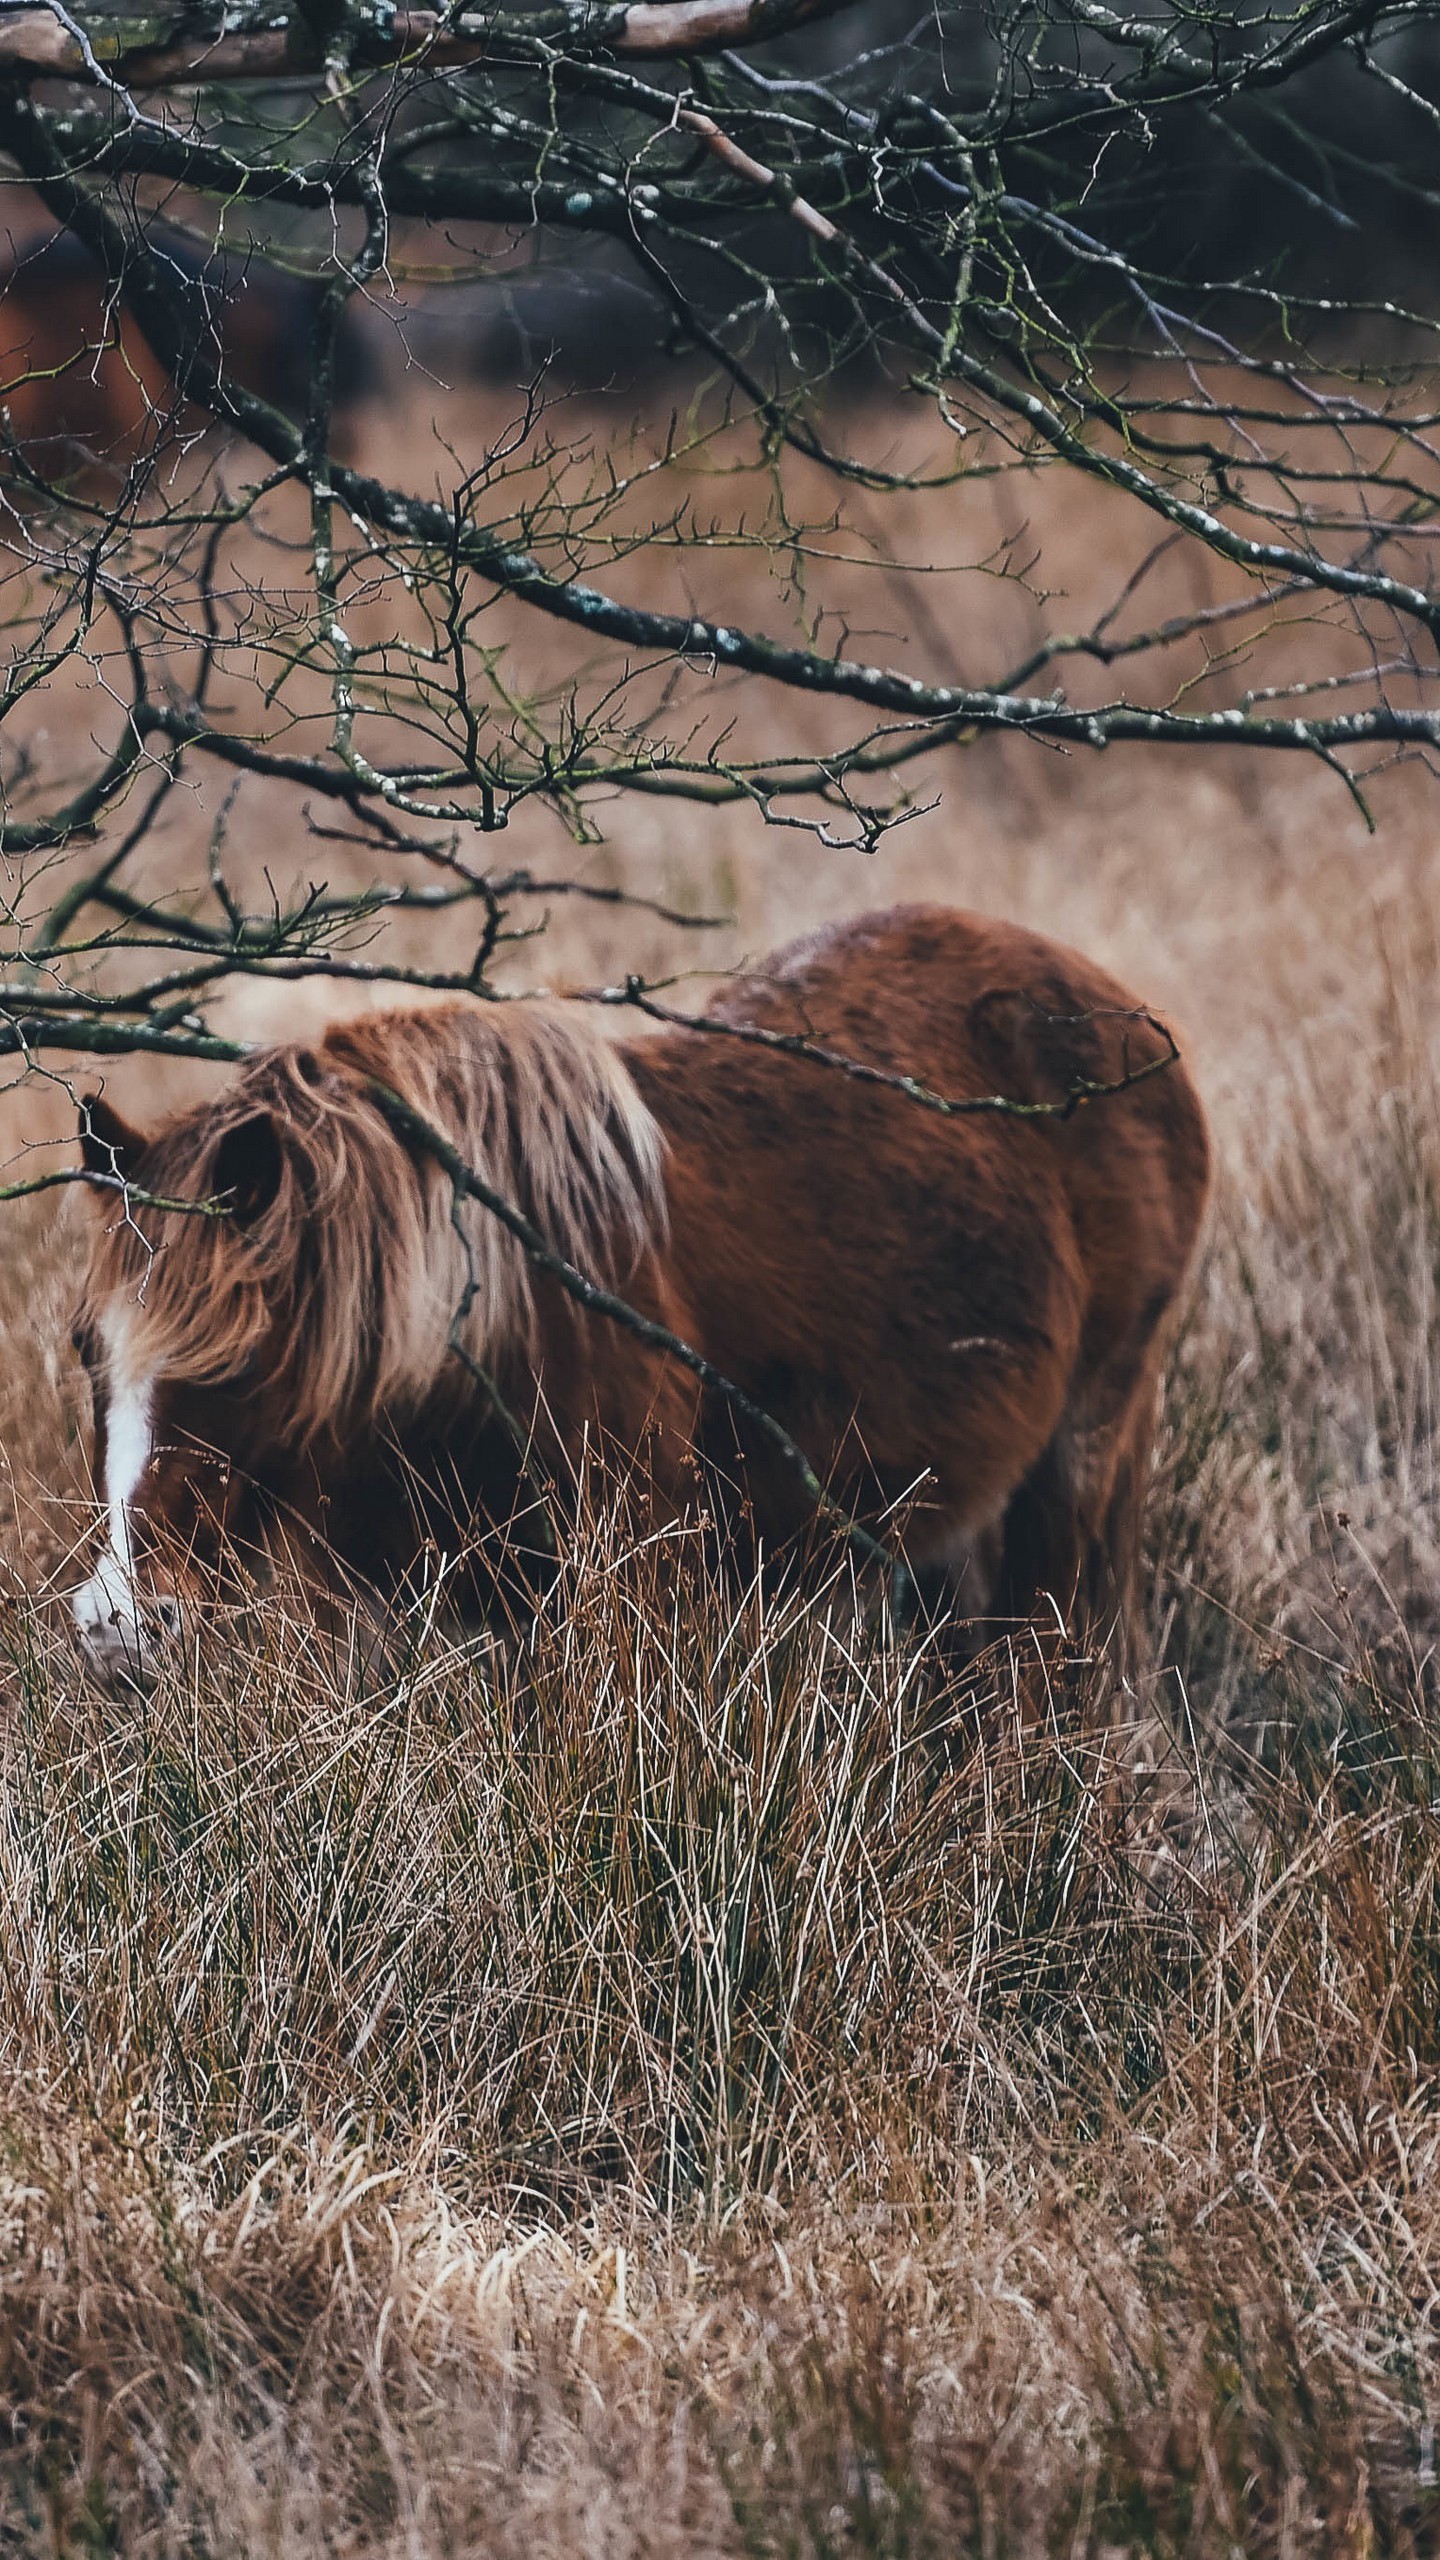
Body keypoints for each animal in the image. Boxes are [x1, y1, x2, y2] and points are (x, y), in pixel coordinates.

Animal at [73, 901, 1204, 1679]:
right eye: (89, 1351)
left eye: (237, 1363)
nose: (120, 1626)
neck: (487, 1317)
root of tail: (1129, 1024)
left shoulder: (624, 1585)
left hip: (1085, 1455)